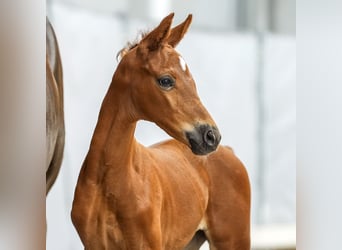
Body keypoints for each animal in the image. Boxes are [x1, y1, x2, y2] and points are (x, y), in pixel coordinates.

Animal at [71, 13, 250, 250]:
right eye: (166, 80)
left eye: (193, 81)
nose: (212, 136)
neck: (109, 181)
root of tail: (228, 151)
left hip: (232, 240)